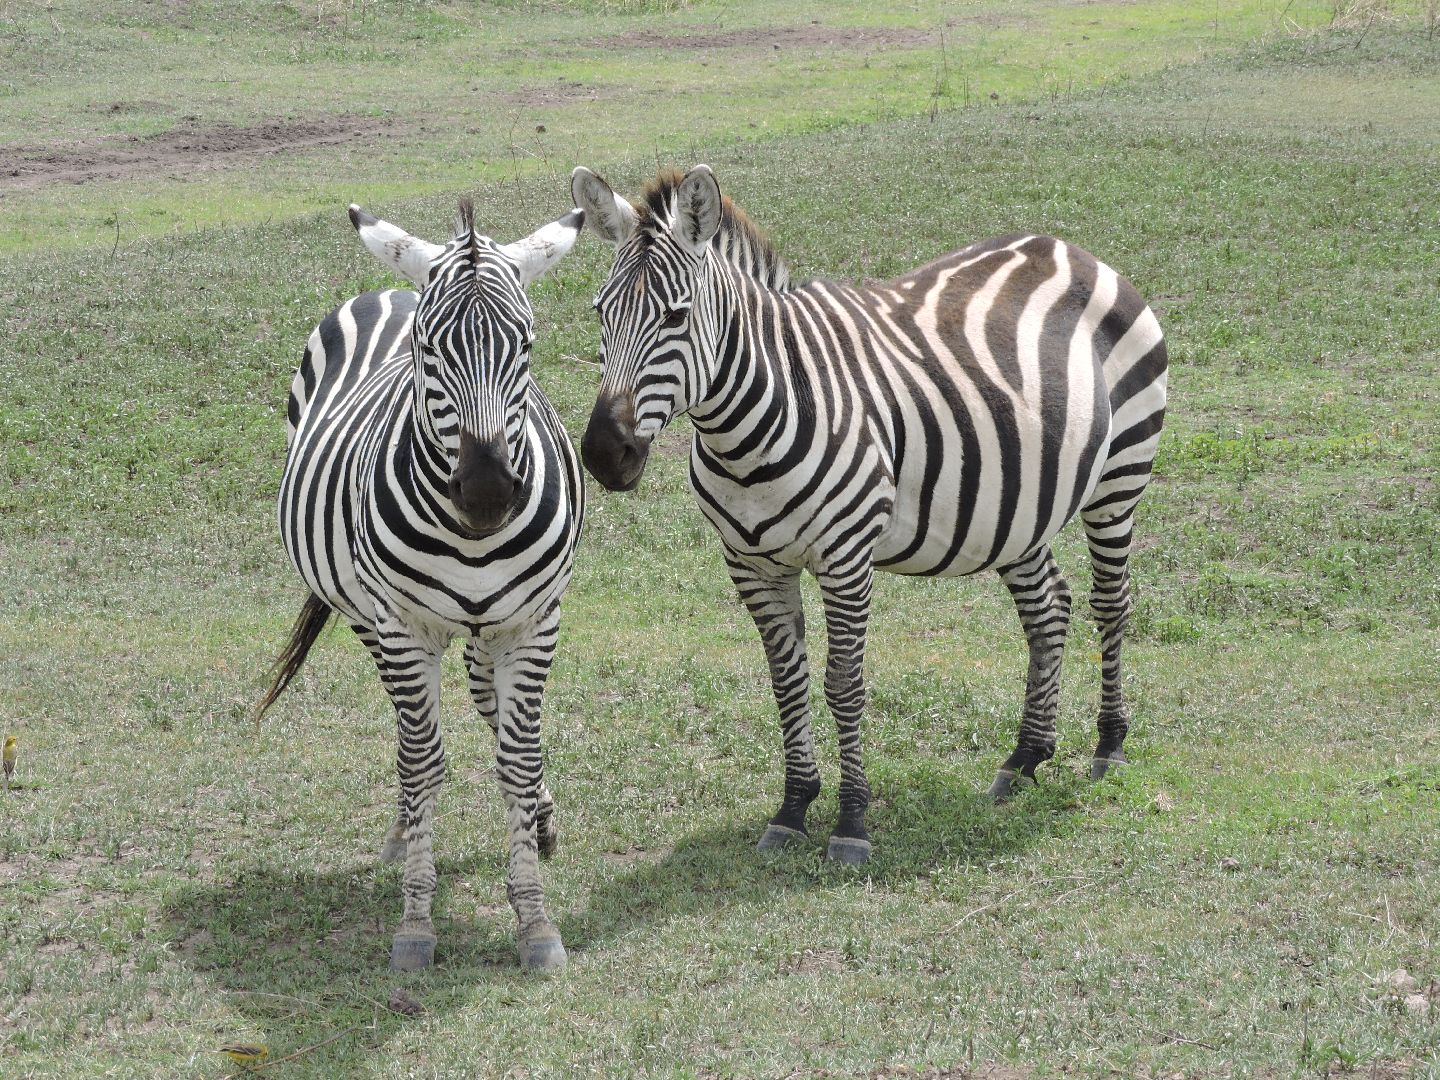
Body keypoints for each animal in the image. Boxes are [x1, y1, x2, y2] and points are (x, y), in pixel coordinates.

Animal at [257, 199, 585, 971]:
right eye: (427, 353)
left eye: (526, 348)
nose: (488, 492)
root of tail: (393, 289)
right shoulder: (404, 628)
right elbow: (423, 762)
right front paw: (415, 921)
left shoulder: (535, 622)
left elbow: (516, 760)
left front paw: (535, 921)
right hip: (366, 615)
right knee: (411, 735)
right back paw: (405, 828)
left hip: (486, 626)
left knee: (487, 702)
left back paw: (539, 818)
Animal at [571, 164, 1167, 864]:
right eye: (601, 313)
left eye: (676, 316)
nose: (604, 454)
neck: (750, 424)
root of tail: (1071, 249)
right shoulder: (750, 564)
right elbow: (787, 682)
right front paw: (793, 808)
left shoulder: (846, 558)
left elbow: (843, 684)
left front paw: (852, 821)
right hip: (1018, 506)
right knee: (1048, 608)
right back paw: (1024, 758)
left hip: (1121, 474)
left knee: (1111, 602)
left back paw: (1109, 743)